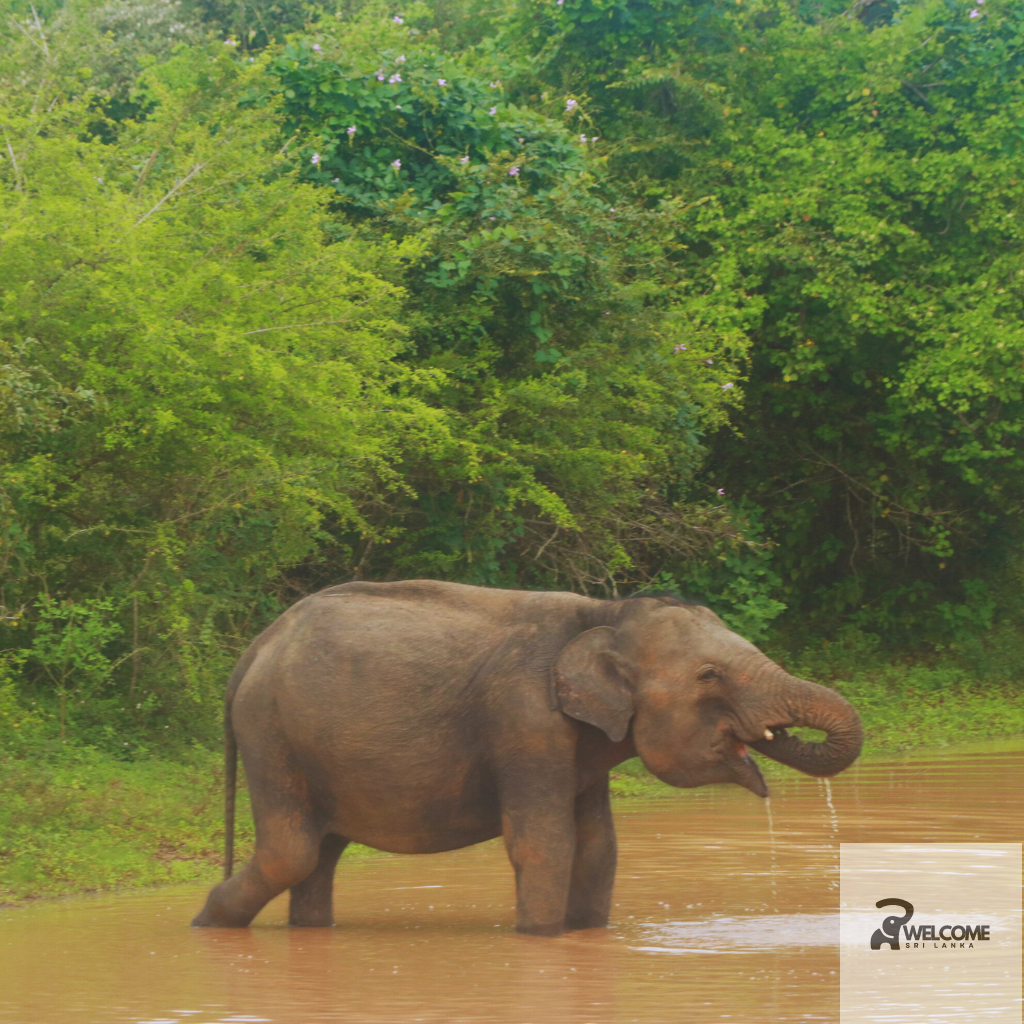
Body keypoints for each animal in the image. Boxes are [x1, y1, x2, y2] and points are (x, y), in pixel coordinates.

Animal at [193, 581, 864, 933]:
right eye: (709, 675)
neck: (604, 612)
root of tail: (253, 650)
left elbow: (598, 846)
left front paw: (586, 934)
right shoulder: (524, 720)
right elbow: (545, 842)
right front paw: (540, 938)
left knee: (319, 855)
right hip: (271, 732)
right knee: (291, 851)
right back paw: (206, 924)